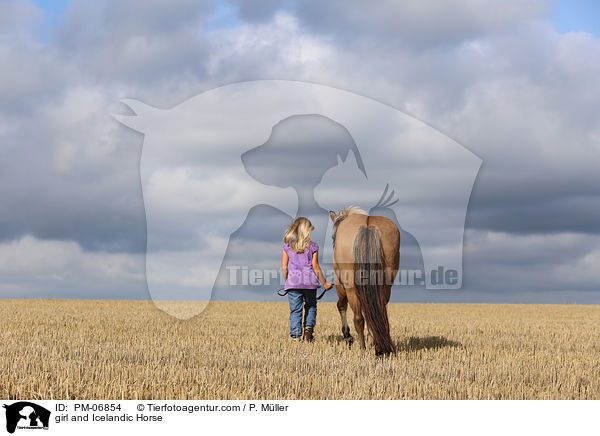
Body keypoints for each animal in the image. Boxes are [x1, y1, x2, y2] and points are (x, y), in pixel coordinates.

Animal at [328, 207, 398, 354]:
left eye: (333, 236)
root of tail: (367, 226)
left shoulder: (340, 285)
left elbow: (341, 306)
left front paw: (347, 336)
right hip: (385, 287)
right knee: (377, 314)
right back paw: (379, 346)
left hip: (350, 288)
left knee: (358, 318)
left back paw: (362, 348)